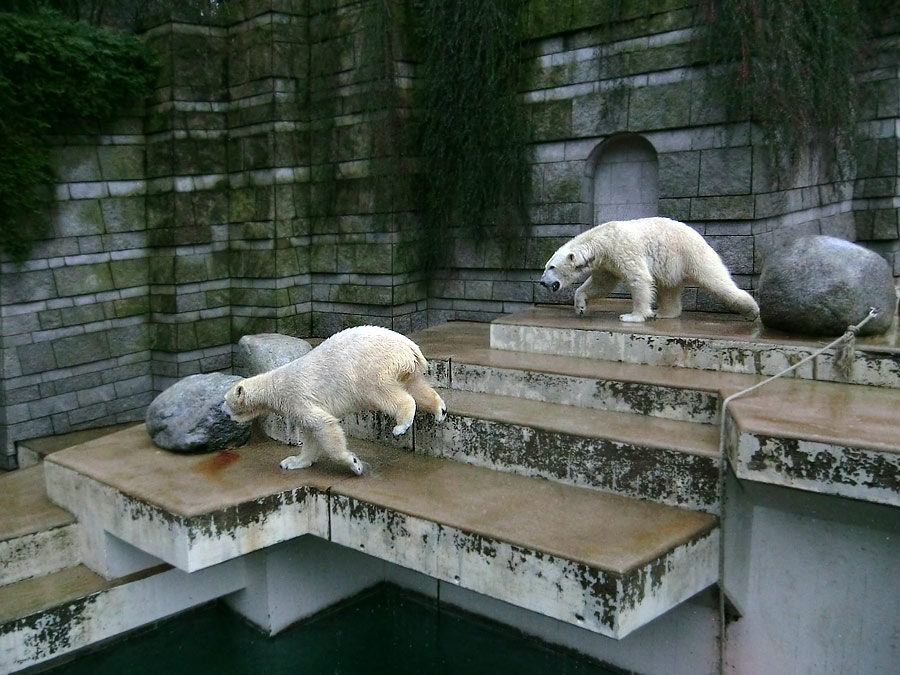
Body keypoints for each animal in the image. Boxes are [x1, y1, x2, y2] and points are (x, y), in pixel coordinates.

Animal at [225, 326, 446, 476]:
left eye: (226, 401)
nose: (225, 414)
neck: (274, 386)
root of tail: (411, 347)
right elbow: (311, 435)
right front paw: (292, 462)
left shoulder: (297, 398)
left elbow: (323, 425)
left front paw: (354, 463)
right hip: (406, 369)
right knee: (417, 387)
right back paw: (440, 410)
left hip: (374, 367)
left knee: (385, 393)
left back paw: (401, 425)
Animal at [540, 217, 760, 322]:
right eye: (546, 266)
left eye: (552, 266)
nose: (542, 282)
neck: (601, 241)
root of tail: (700, 236)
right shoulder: (607, 263)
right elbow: (600, 285)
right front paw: (580, 306)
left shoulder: (622, 249)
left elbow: (639, 278)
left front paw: (633, 316)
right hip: (671, 266)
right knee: (668, 289)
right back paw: (664, 313)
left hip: (692, 254)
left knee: (716, 281)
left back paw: (752, 311)